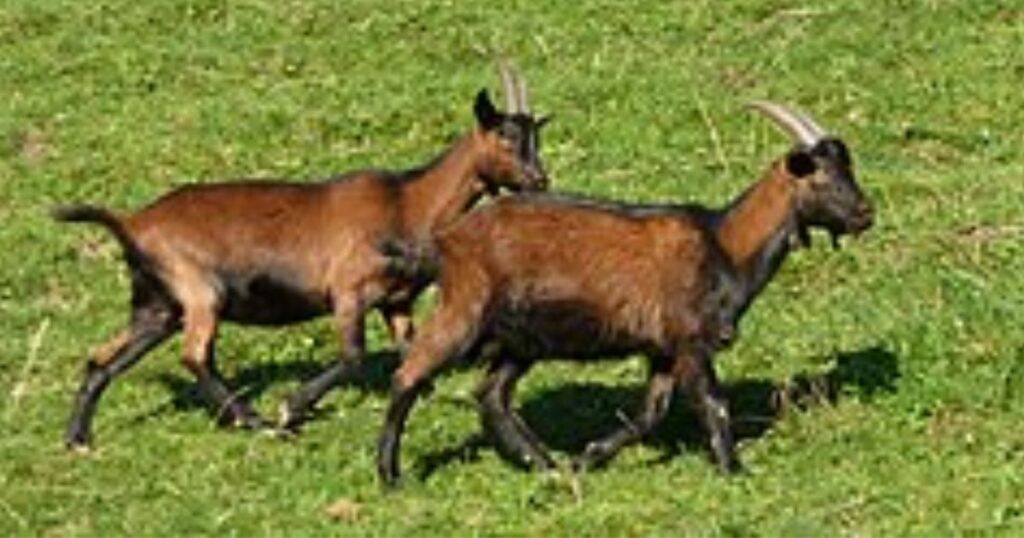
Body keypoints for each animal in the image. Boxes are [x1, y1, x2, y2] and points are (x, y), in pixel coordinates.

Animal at [54, 64, 551, 450]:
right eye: (505, 136)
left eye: (534, 137)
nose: (539, 180)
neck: (407, 203)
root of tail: (132, 222)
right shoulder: (348, 291)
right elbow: (353, 357)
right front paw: (291, 408)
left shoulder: (396, 301)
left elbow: (410, 351)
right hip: (198, 289)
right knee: (195, 355)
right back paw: (254, 419)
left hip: (157, 305)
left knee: (102, 358)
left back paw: (78, 437)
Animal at [376, 102, 874, 485]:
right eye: (822, 177)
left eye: (847, 168)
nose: (865, 213)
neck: (723, 244)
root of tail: (448, 240)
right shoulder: (690, 340)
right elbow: (713, 404)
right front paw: (734, 469)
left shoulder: (663, 349)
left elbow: (649, 413)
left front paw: (589, 456)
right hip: (466, 308)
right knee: (409, 373)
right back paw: (390, 475)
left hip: (522, 340)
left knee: (491, 396)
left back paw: (549, 466)